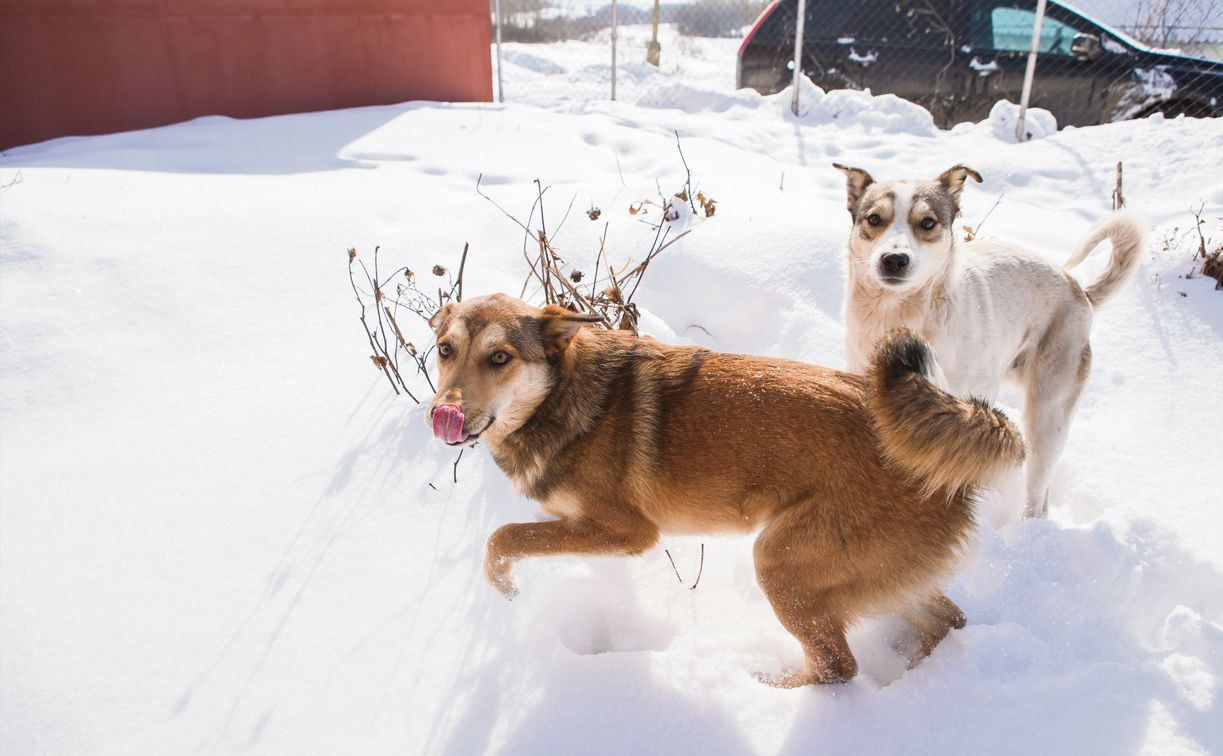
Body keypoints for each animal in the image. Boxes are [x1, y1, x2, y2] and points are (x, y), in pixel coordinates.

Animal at [425, 292, 1017, 685]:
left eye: (500, 358)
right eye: (445, 350)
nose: (442, 413)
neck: (562, 396)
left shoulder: (627, 532)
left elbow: (504, 537)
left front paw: (506, 588)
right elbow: (520, 535)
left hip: (781, 564)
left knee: (837, 666)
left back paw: (767, 687)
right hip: (877, 574)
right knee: (945, 622)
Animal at [831, 163, 1144, 518]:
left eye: (928, 223)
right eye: (873, 219)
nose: (894, 259)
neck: (901, 313)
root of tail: (1077, 288)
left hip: (1047, 414)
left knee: (1035, 490)